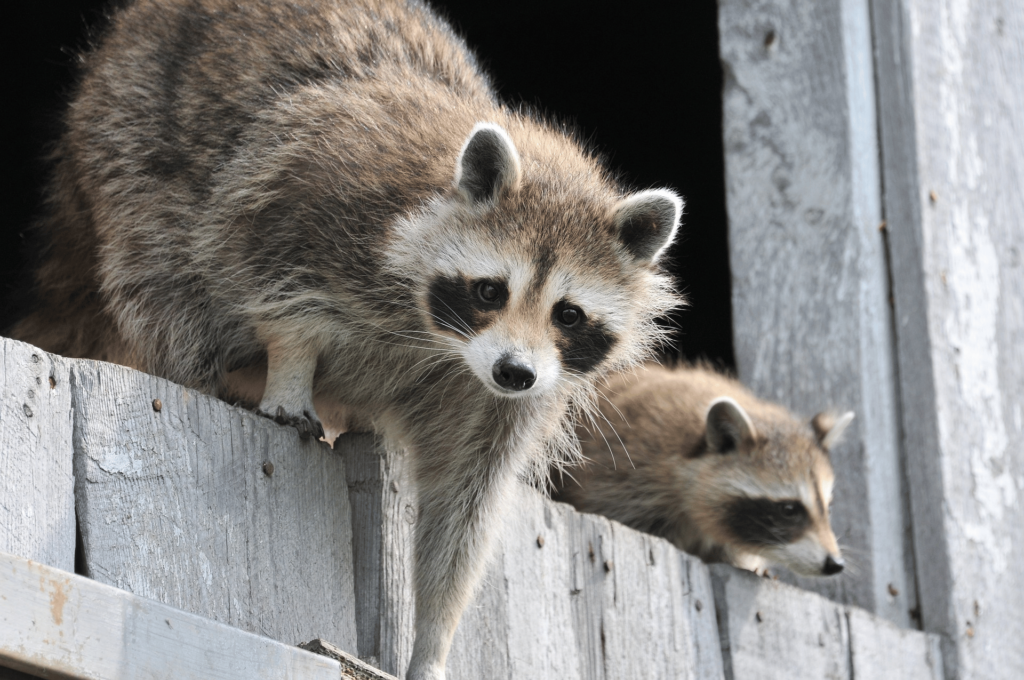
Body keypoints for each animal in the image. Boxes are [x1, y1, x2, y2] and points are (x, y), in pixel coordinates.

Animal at [14, 2, 679, 675]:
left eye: (567, 314)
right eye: (491, 291)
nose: (514, 371)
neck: (441, 340)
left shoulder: (501, 397)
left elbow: (464, 508)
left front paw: (434, 638)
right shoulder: (314, 196)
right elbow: (276, 284)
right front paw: (290, 370)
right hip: (127, 128)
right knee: (160, 271)